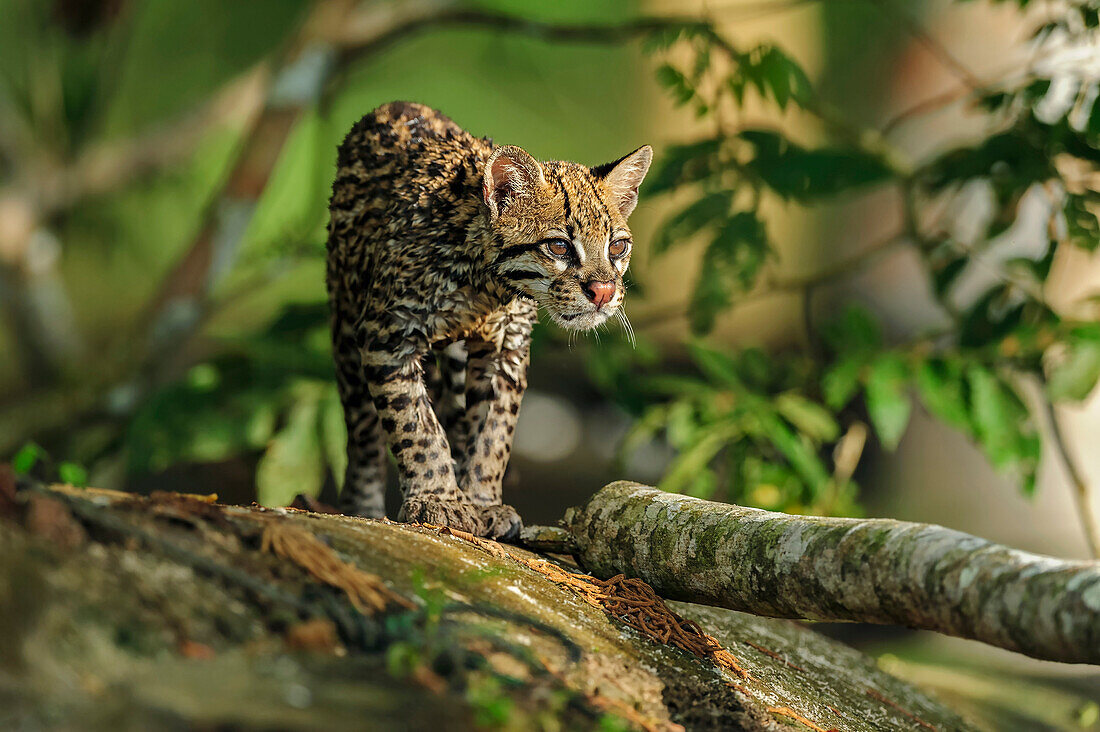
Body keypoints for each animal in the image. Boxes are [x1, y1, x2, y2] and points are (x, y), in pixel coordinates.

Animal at [325, 100, 651, 537]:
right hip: (346, 322)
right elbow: (415, 424)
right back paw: (363, 504)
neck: (487, 286)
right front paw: (438, 498)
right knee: (362, 428)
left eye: (617, 247)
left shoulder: (509, 347)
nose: (602, 292)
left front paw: (482, 500)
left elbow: (494, 432)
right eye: (559, 246)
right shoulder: (388, 336)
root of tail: (395, 105)